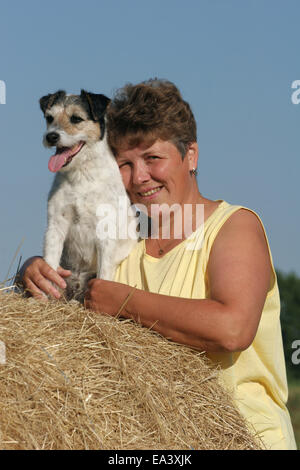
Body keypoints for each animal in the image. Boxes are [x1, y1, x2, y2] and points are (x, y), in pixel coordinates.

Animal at [39, 89, 138, 300]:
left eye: (76, 118)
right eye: (49, 117)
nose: (51, 136)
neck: (81, 177)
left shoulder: (105, 233)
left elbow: (104, 274)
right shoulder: (56, 225)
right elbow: (50, 265)